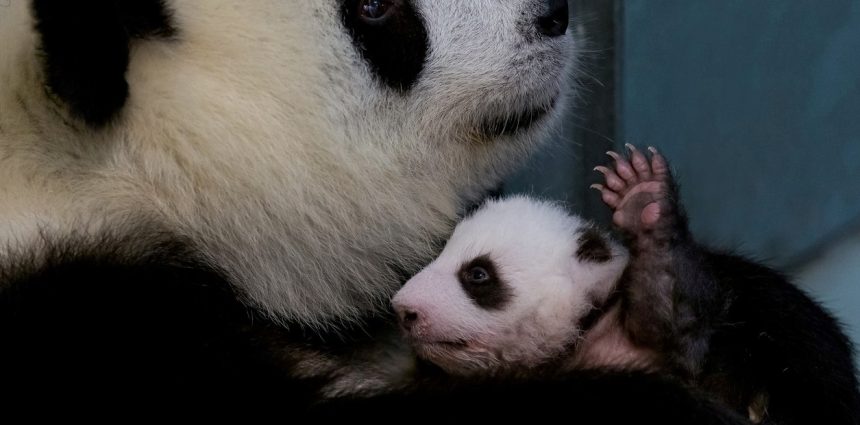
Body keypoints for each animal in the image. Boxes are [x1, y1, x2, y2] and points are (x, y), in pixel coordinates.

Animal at [391, 146, 860, 424]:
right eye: (441, 252)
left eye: (477, 274)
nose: (404, 309)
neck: (584, 330)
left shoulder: (693, 349)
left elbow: (673, 312)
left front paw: (644, 200)